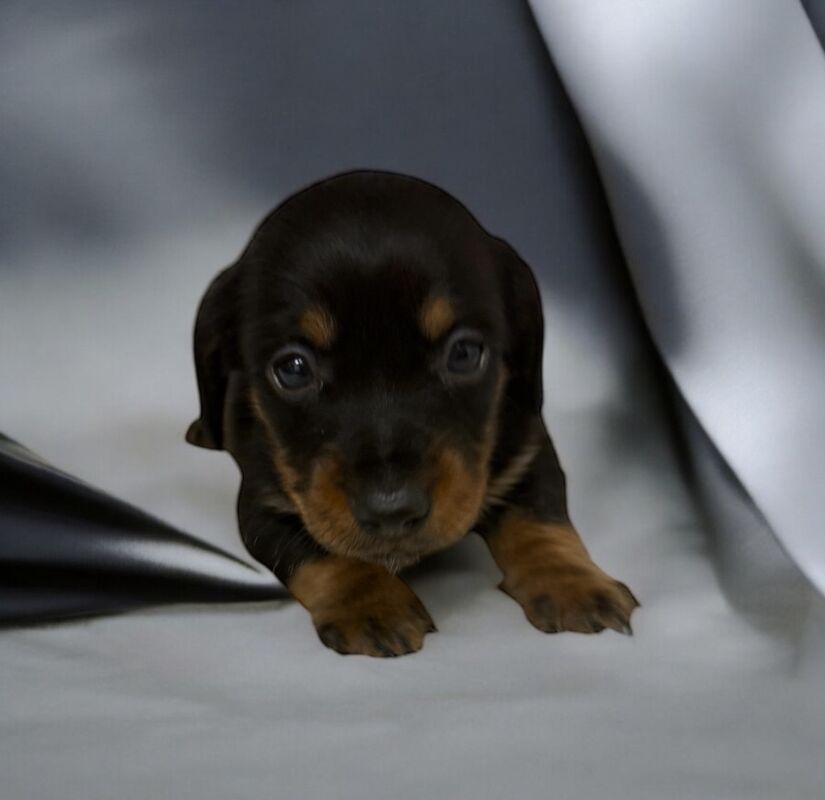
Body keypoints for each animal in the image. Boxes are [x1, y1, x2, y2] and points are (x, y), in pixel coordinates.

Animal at [187, 169, 636, 656]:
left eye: (464, 354)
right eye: (292, 369)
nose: (392, 511)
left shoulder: (528, 449)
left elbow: (541, 519)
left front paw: (573, 584)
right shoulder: (262, 505)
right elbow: (319, 550)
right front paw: (371, 605)